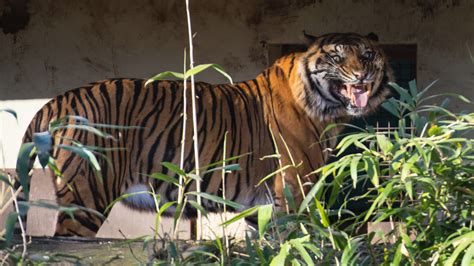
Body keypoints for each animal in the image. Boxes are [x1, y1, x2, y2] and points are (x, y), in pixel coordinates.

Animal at [19, 32, 392, 236]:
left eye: (368, 55)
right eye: (337, 57)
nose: (361, 76)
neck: (326, 109)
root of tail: (55, 101)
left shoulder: (260, 207)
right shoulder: (294, 192)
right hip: (87, 195)